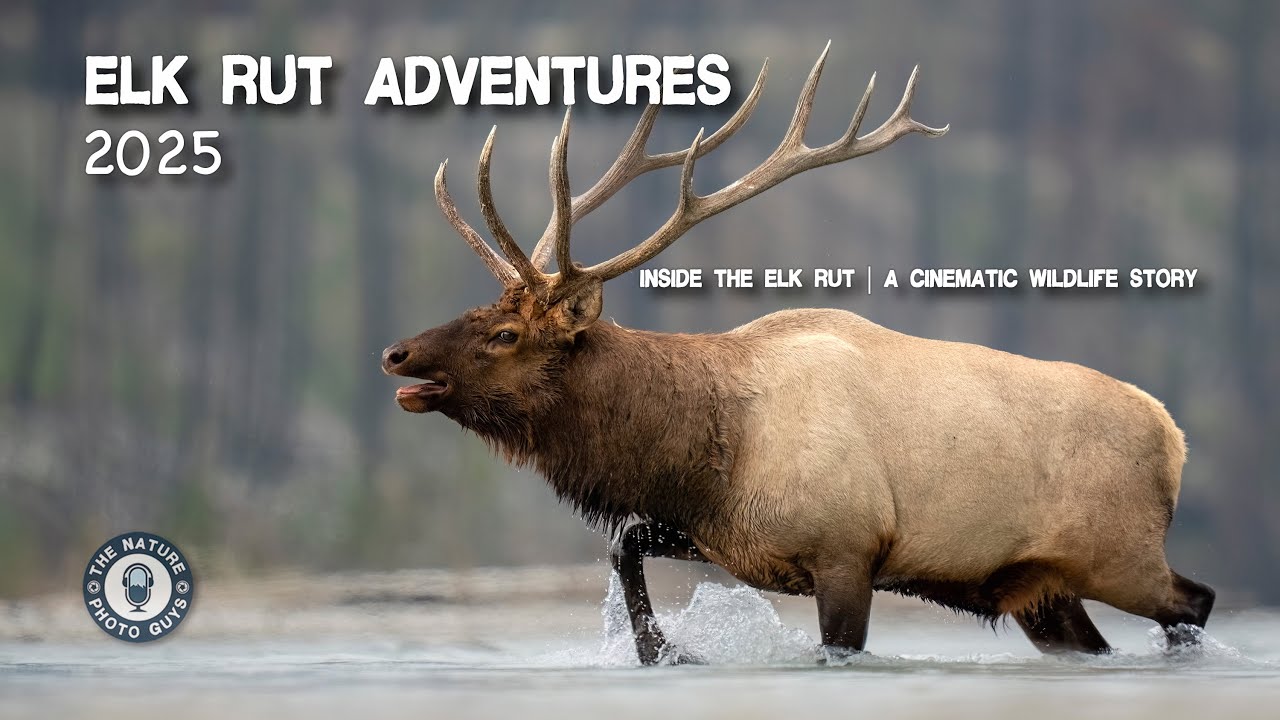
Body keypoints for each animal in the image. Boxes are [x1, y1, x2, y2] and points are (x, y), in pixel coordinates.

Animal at [382, 44, 1215, 664]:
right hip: (1044, 588)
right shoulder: (727, 536)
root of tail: (1174, 437)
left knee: (1195, 601)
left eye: (506, 334)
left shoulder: (847, 549)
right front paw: (664, 650)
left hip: (1120, 553)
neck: (707, 445)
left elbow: (839, 649)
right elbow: (624, 546)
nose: (396, 353)